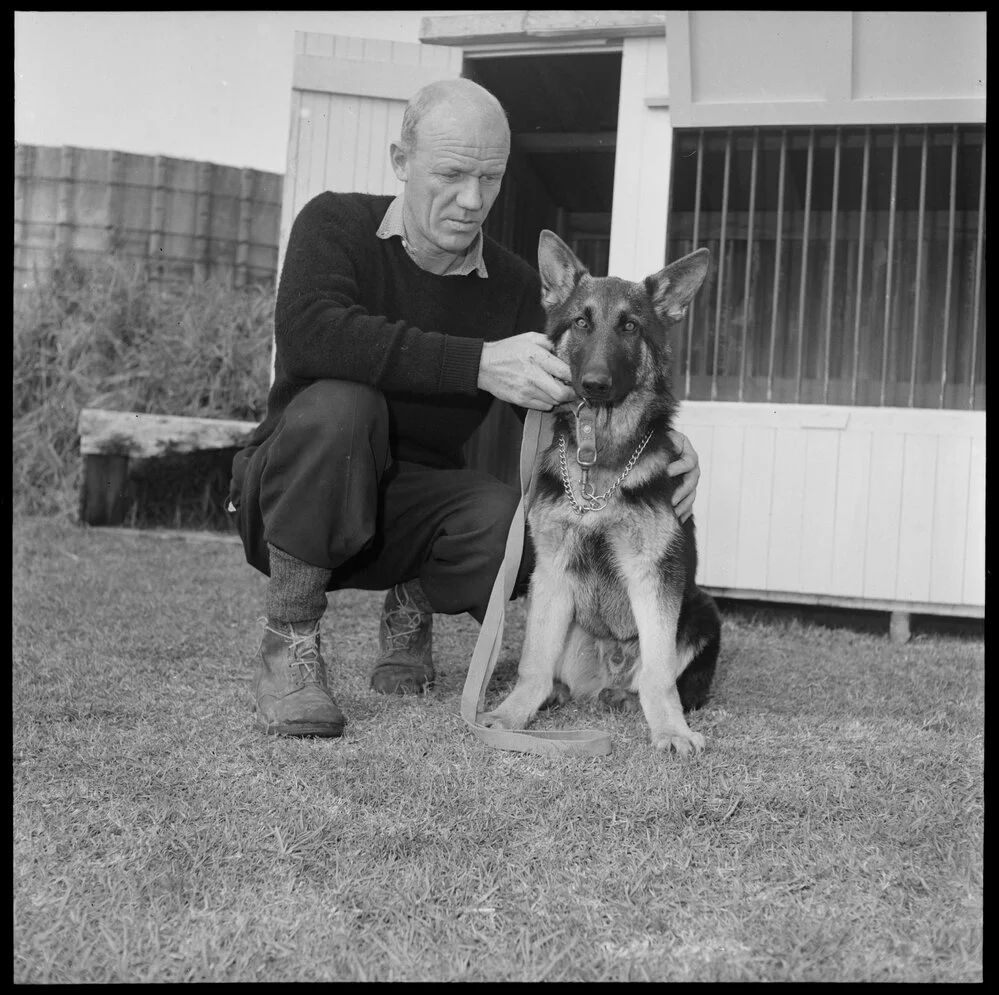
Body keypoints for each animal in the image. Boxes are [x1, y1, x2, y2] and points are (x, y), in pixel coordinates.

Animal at [482, 230, 720, 756]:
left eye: (630, 326)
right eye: (581, 322)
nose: (593, 384)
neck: (602, 460)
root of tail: (607, 670)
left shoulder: (654, 576)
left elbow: (659, 675)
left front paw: (670, 730)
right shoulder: (551, 572)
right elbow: (532, 662)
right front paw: (512, 714)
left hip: (701, 614)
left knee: (662, 679)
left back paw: (629, 700)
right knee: (552, 669)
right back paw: (555, 693)